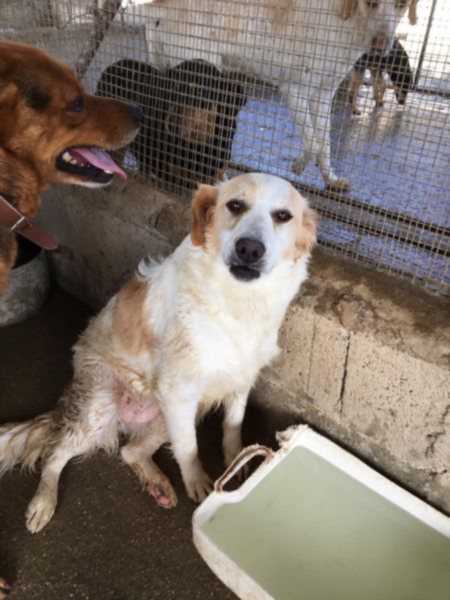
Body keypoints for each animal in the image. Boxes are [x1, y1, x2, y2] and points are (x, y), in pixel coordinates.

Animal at [0, 172, 317, 533]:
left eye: (283, 216)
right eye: (235, 205)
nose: (249, 248)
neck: (238, 301)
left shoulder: (240, 379)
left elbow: (233, 427)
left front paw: (238, 461)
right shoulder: (178, 392)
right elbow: (189, 448)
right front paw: (198, 483)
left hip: (170, 414)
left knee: (130, 452)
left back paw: (158, 485)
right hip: (103, 409)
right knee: (56, 454)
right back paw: (43, 502)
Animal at [130, 0, 419, 191]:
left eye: (401, 4)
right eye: (371, 3)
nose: (382, 45)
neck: (345, 21)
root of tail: (163, 4)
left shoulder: (324, 95)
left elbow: (324, 143)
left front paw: (330, 178)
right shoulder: (295, 90)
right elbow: (313, 141)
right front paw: (300, 165)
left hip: (163, 68)